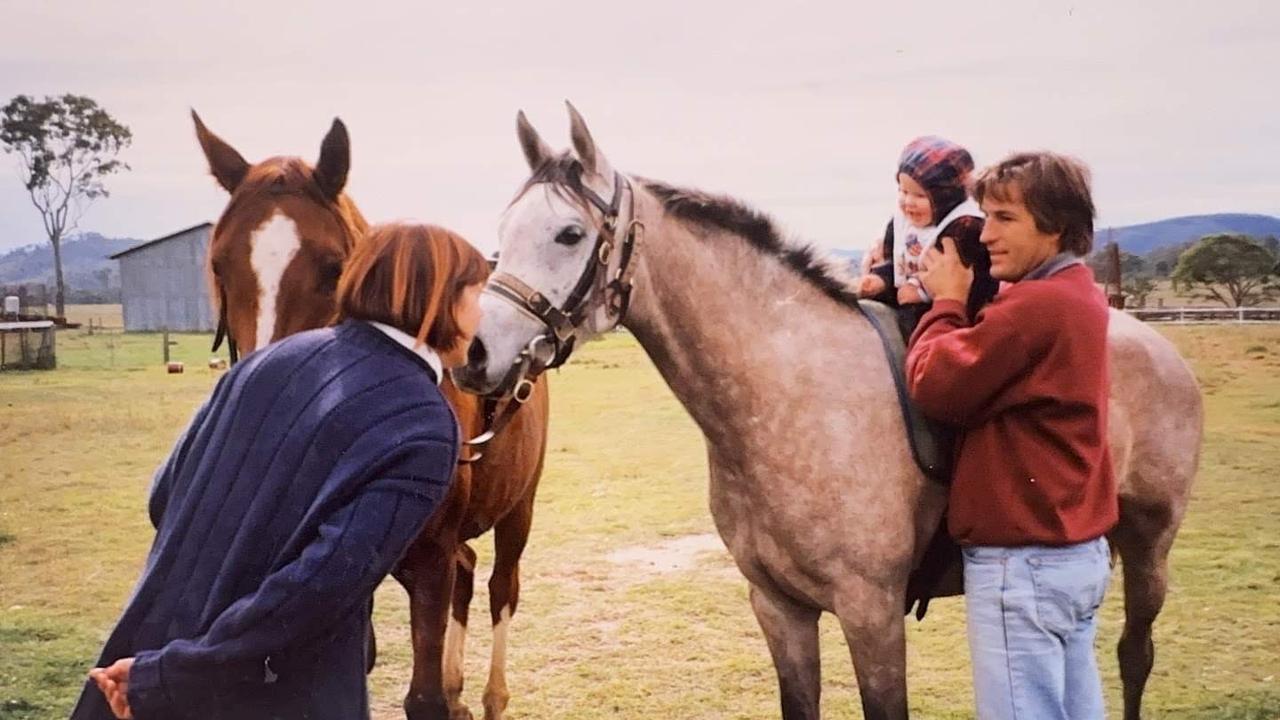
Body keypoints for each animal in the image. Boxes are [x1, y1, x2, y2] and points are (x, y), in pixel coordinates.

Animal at [192, 112, 547, 717]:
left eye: (335, 267)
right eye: (219, 266)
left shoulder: (428, 559)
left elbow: (424, 696)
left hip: (518, 506)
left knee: (502, 588)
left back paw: (490, 694)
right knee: (468, 574)